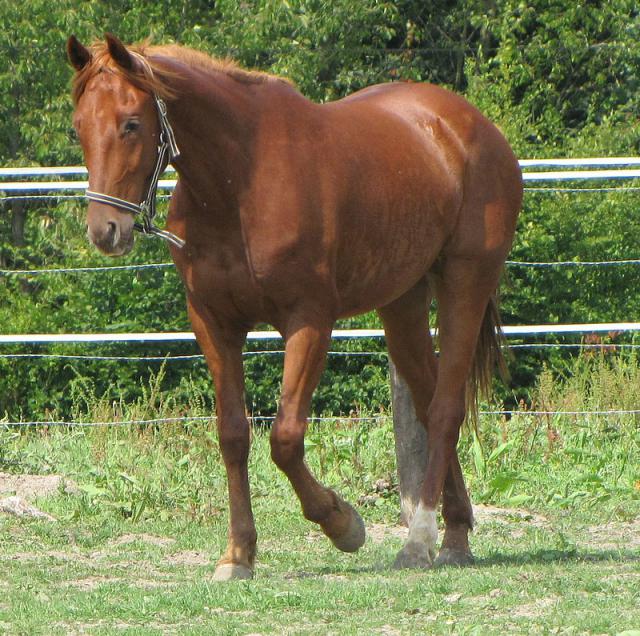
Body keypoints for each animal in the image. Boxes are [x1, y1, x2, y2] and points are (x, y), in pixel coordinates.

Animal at [67, 34, 524, 580]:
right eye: (78, 127)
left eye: (132, 123)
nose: (105, 231)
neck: (237, 182)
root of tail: (473, 126)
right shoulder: (214, 323)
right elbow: (233, 435)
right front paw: (237, 555)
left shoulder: (309, 322)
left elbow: (285, 439)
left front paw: (343, 523)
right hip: (402, 303)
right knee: (429, 397)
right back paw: (454, 534)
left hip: (465, 283)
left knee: (446, 409)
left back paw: (420, 540)